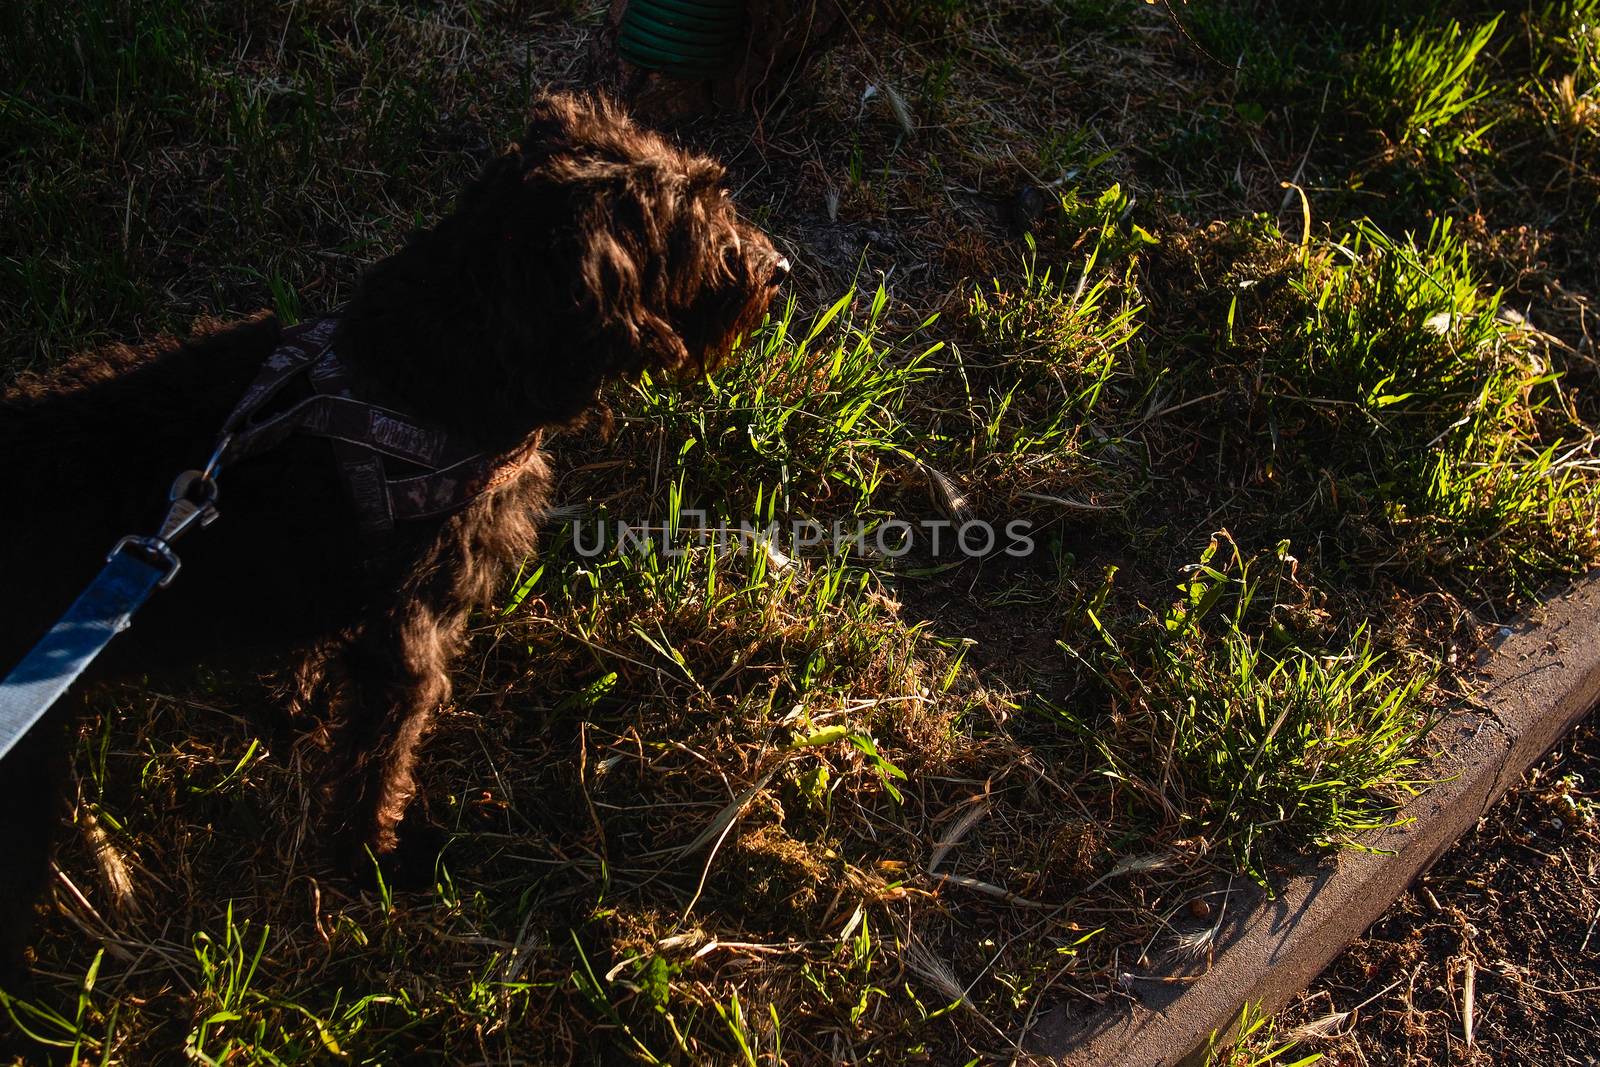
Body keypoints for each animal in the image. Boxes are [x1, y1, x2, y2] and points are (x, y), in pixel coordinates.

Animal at [0, 93, 787, 985]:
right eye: (695, 213)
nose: (781, 269)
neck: (421, 371)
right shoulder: (408, 643)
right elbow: (379, 762)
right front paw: (374, 860)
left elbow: (311, 668)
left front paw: (294, 713)